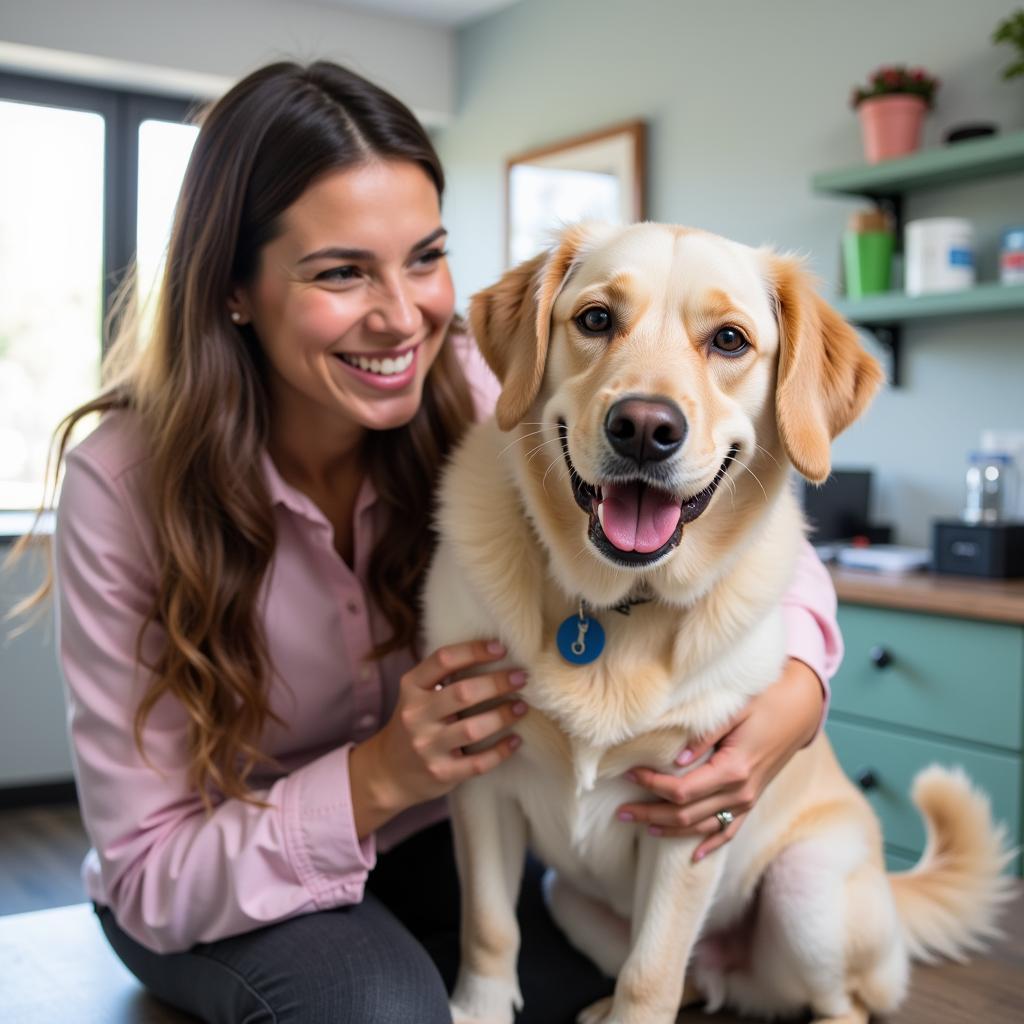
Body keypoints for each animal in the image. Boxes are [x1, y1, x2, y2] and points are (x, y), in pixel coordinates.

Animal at [421, 224, 1007, 1024]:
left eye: (729, 339)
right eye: (596, 319)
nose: (644, 428)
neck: (615, 604)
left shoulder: (691, 816)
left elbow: (651, 973)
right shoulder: (482, 775)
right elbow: (488, 926)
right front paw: (478, 1007)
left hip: (806, 893)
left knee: (837, 1001)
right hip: (568, 895)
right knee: (695, 980)